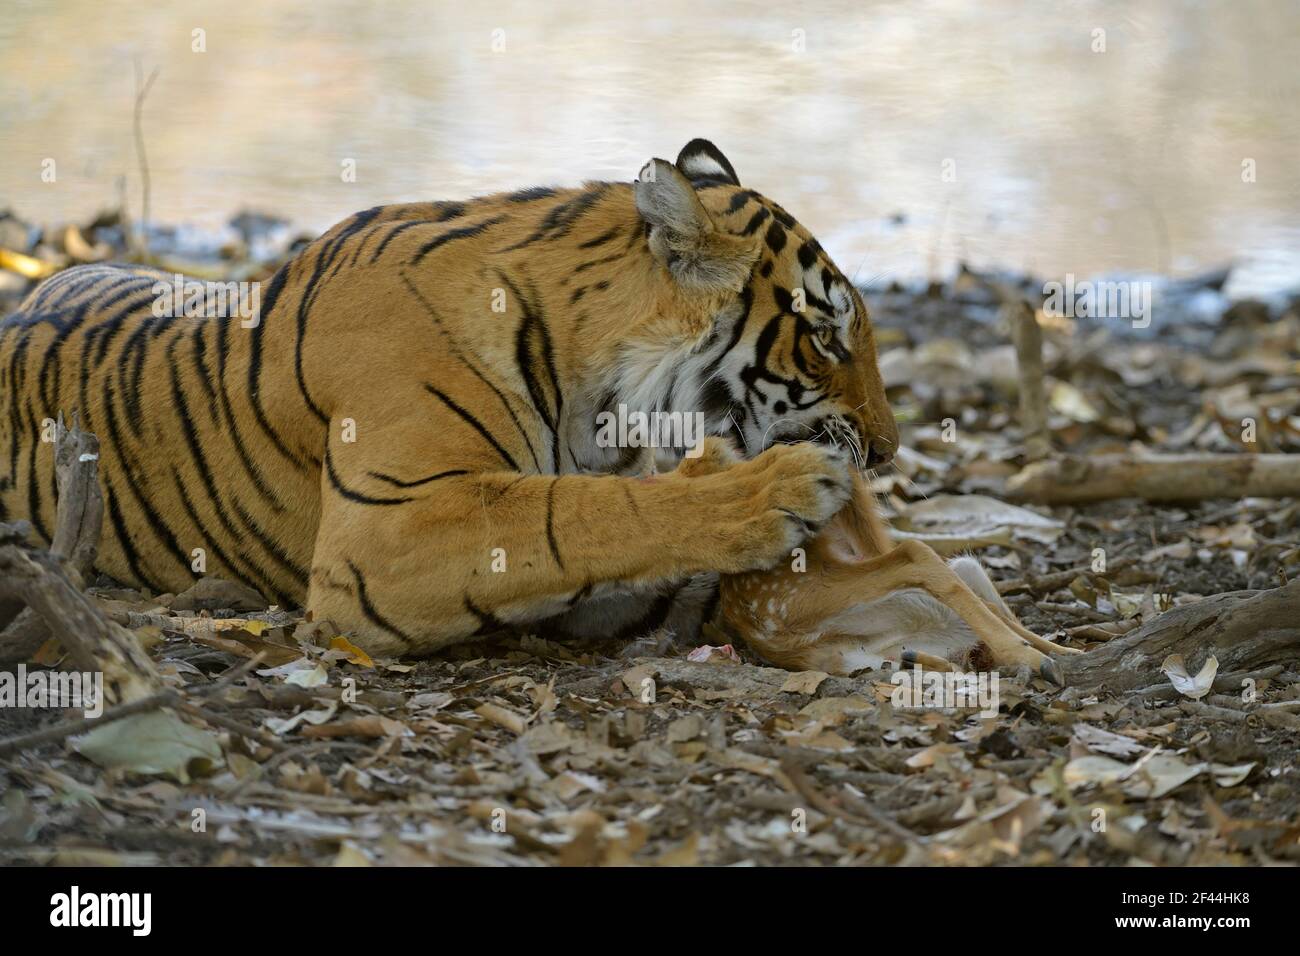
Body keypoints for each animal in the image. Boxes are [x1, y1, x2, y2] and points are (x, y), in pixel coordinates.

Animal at [0, 136, 894, 658]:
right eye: (825, 338)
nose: (884, 452)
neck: (598, 401)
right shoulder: (388, 529)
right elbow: (582, 513)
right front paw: (773, 488)